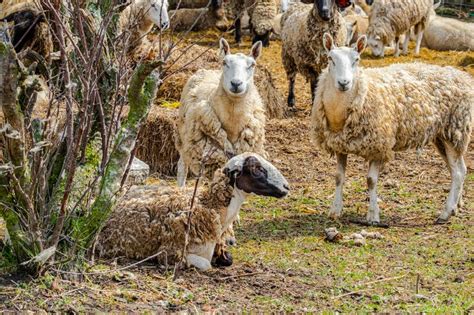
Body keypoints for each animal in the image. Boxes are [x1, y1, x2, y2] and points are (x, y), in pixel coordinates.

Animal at [97, 152, 288, 270]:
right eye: (256, 169)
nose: (286, 187)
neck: (212, 207)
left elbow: (228, 259)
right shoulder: (172, 252)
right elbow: (206, 265)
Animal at [177, 39, 268, 188]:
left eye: (252, 65)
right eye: (225, 62)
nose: (236, 83)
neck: (233, 125)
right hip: (186, 138)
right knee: (182, 165)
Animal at [312, 33, 474, 226]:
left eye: (356, 60)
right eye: (330, 59)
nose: (344, 83)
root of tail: (463, 76)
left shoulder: (379, 145)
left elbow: (371, 180)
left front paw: (373, 216)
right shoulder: (339, 145)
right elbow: (338, 177)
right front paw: (335, 210)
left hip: (455, 130)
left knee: (457, 173)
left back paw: (445, 213)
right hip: (443, 136)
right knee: (460, 169)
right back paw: (456, 207)